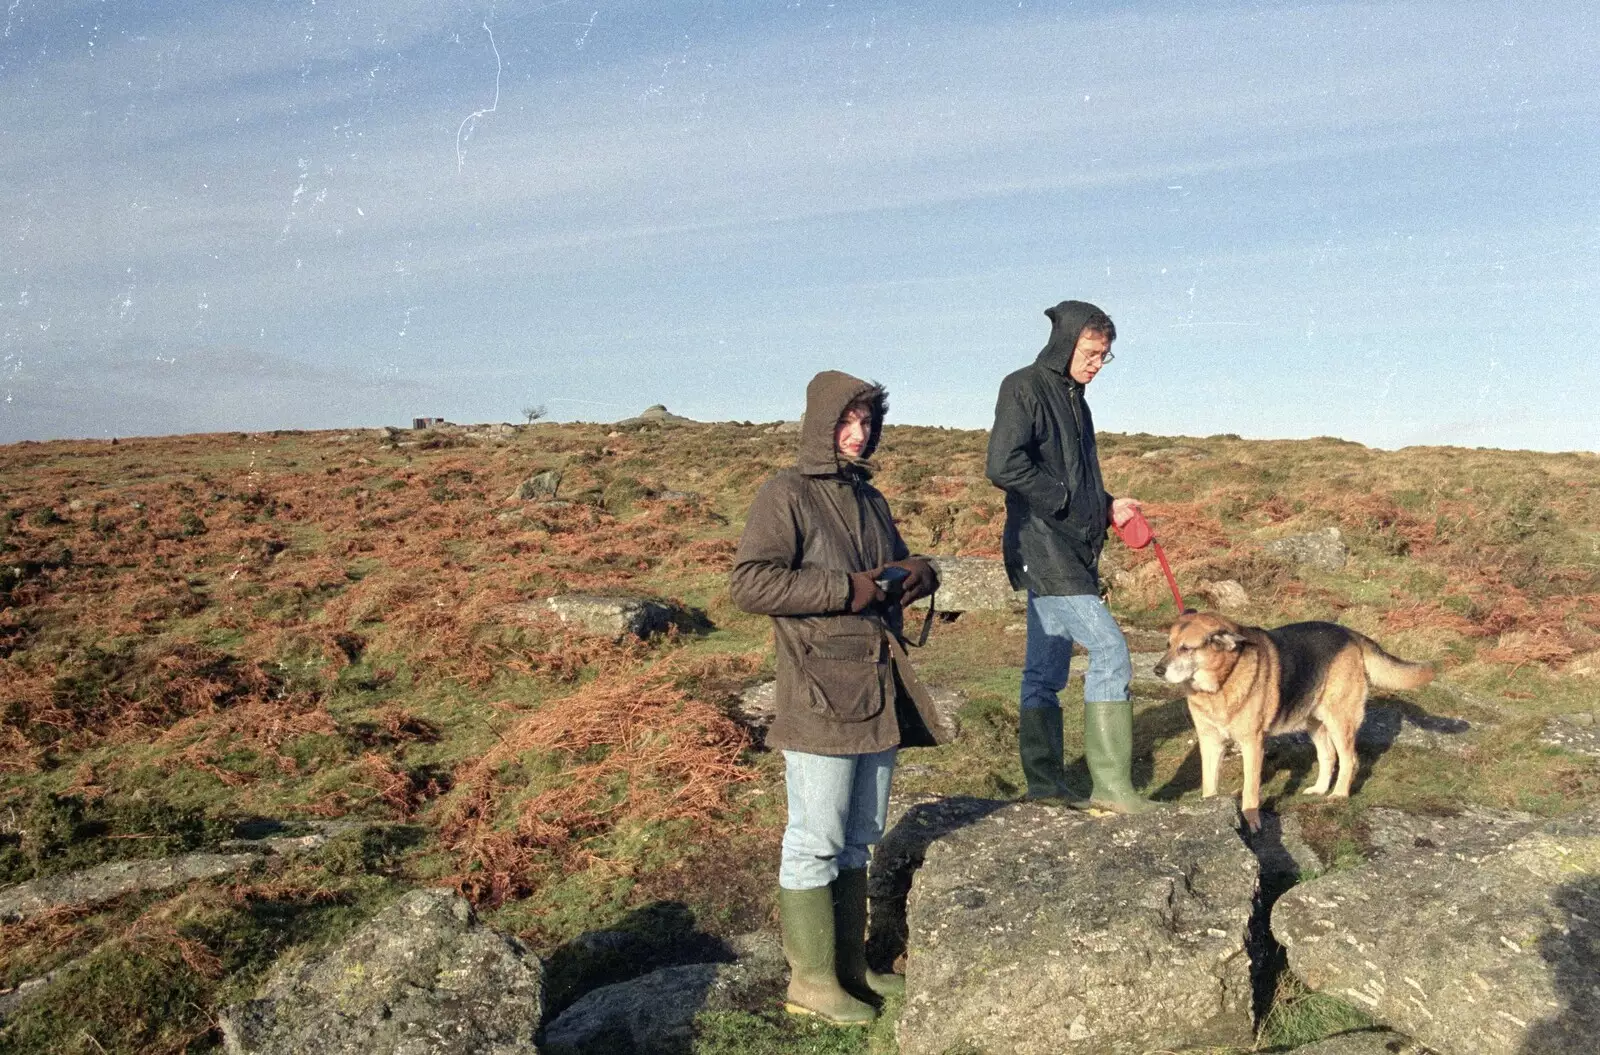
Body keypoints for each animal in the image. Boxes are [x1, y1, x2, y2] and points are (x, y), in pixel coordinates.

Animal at [1152, 614, 1440, 832]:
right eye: (1167, 644)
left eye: (1186, 648)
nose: (1157, 671)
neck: (1221, 682)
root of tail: (1350, 633)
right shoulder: (1210, 743)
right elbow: (1209, 784)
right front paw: (1210, 811)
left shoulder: (1252, 744)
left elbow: (1250, 790)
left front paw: (1252, 822)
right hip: (1313, 721)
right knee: (1328, 756)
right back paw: (1320, 789)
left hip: (1339, 720)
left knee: (1349, 759)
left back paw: (1338, 795)